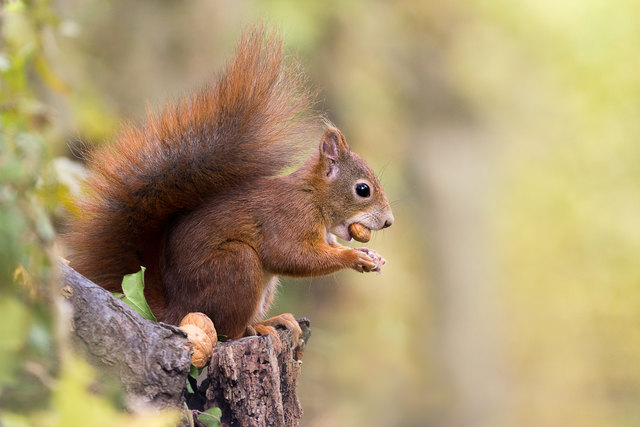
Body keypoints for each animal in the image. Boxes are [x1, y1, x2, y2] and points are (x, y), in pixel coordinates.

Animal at [66, 27, 396, 342]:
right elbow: (292, 256)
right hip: (236, 265)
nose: (389, 222)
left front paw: (374, 256)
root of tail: (175, 308)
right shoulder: (288, 219)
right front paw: (353, 257)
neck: (314, 197)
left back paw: (271, 321)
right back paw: (257, 328)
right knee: (229, 330)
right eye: (363, 190)